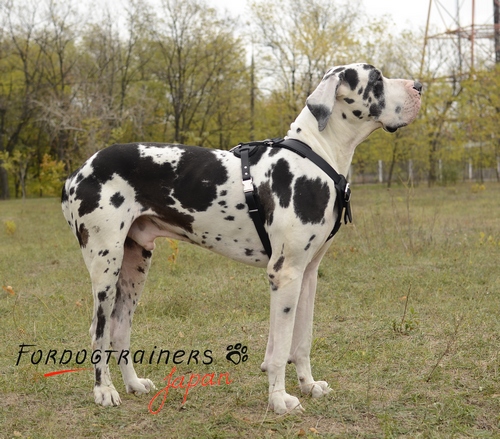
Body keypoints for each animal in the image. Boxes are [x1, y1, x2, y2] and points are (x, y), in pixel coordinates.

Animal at [61, 63, 422, 414]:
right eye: (376, 79)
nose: (419, 86)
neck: (317, 156)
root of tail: (77, 172)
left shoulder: (307, 274)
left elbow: (300, 340)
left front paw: (308, 385)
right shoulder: (284, 273)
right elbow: (280, 348)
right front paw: (280, 400)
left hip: (136, 262)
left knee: (120, 327)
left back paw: (134, 384)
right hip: (105, 265)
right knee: (98, 331)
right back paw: (104, 391)